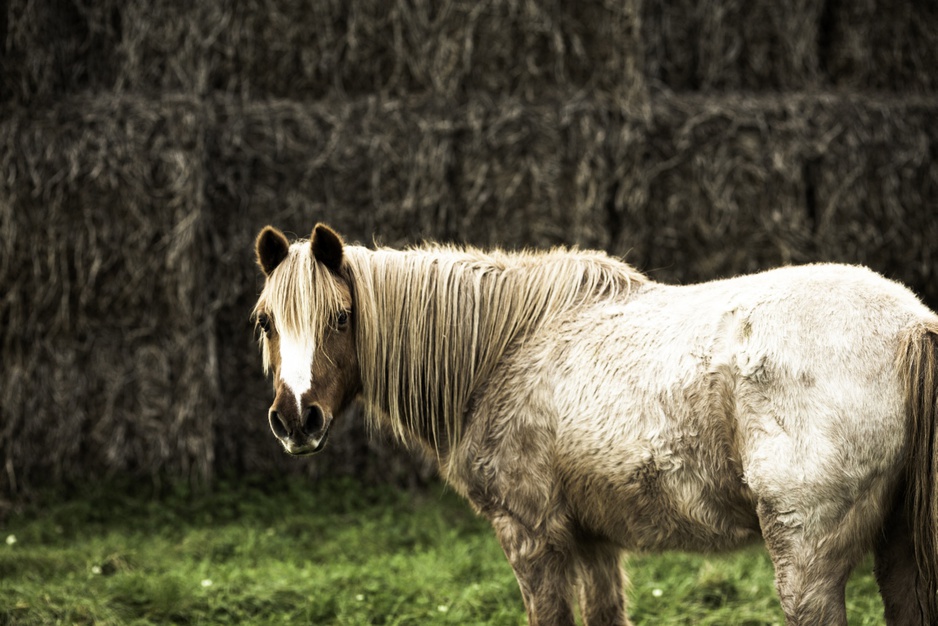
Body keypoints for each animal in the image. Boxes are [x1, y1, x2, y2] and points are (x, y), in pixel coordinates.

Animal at [250, 222, 936, 620]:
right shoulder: (596, 541)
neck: (505, 347)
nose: (296, 420)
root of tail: (912, 325)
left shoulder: (530, 535)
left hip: (806, 556)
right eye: (265, 321)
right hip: (898, 551)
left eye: (341, 317)